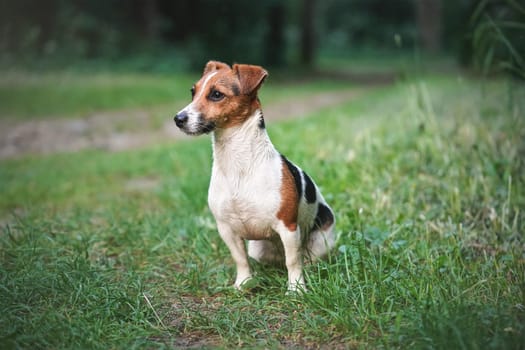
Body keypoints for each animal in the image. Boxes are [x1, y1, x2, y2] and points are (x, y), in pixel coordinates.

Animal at [174, 60, 334, 292]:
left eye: (216, 94)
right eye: (192, 92)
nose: (178, 119)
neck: (237, 162)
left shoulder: (288, 227)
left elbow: (293, 261)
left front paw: (296, 289)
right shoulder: (226, 229)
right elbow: (240, 259)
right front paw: (243, 283)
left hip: (321, 242)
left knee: (305, 260)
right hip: (258, 249)